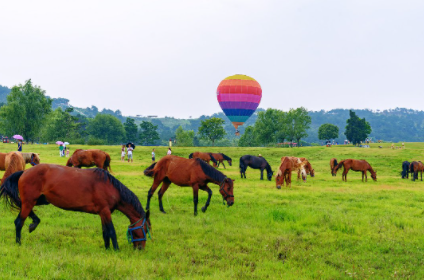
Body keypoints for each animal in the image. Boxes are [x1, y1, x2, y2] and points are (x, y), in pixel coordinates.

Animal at [0, 164, 151, 249]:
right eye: (145, 229)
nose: (141, 248)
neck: (110, 187)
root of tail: (24, 172)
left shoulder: (102, 213)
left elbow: (105, 233)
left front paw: (107, 249)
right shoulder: (106, 211)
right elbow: (112, 232)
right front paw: (116, 250)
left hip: (38, 200)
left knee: (21, 206)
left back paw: (34, 222)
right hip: (30, 201)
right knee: (19, 222)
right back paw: (19, 242)